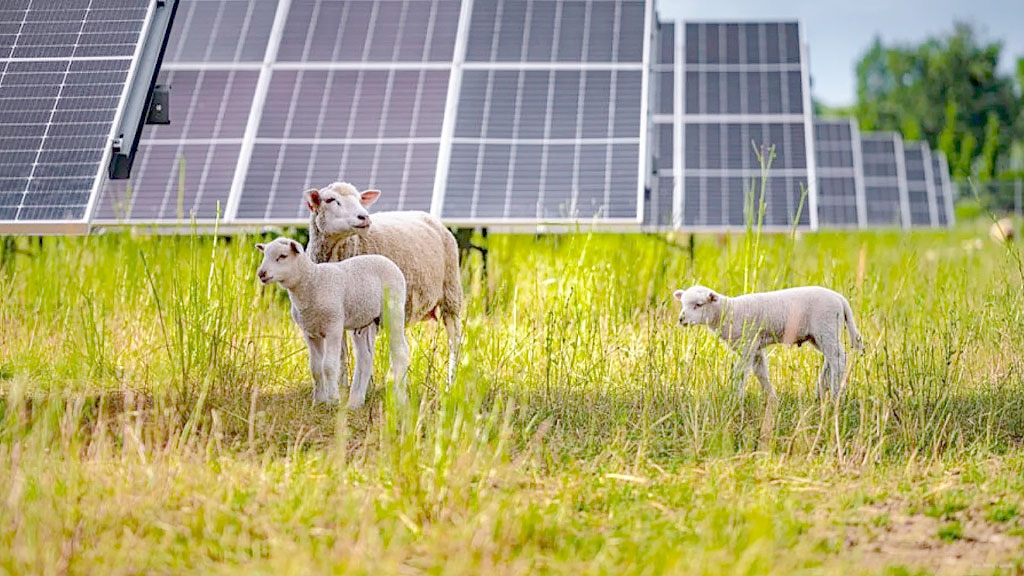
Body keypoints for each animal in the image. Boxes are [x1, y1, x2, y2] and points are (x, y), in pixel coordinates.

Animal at [256, 237, 409, 409]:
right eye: (264, 254)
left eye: (282, 256)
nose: (261, 274)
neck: (312, 282)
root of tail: (388, 261)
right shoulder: (310, 332)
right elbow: (315, 367)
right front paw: (318, 401)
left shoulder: (333, 327)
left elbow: (328, 366)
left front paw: (333, 400)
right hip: (363, 320)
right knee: (365, 357)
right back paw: (355, 402)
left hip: (394, 310)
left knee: (401, 352)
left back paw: (400, 398)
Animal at [304, 182, 463, 385]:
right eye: (330, 200)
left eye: (359, 199)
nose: (364, 216)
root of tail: (429, 217)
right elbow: (341, 353)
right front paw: (342, 386)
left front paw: (366, 385)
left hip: (451, 294)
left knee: (454, 341)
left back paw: (451, 382)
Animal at [673, 285, 864, 400]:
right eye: (682, 304)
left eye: (698, 305)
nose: (681, 319)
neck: (729, 312)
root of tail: (840, 299)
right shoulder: (755, 347)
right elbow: (761, 372)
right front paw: (772, 397)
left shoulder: (748, 344)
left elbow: (741, 372)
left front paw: (735, 398)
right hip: (819, 335)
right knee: (830, 359)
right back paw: (821, 392)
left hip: (826, 326)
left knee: (838, 358)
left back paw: (834, 395)